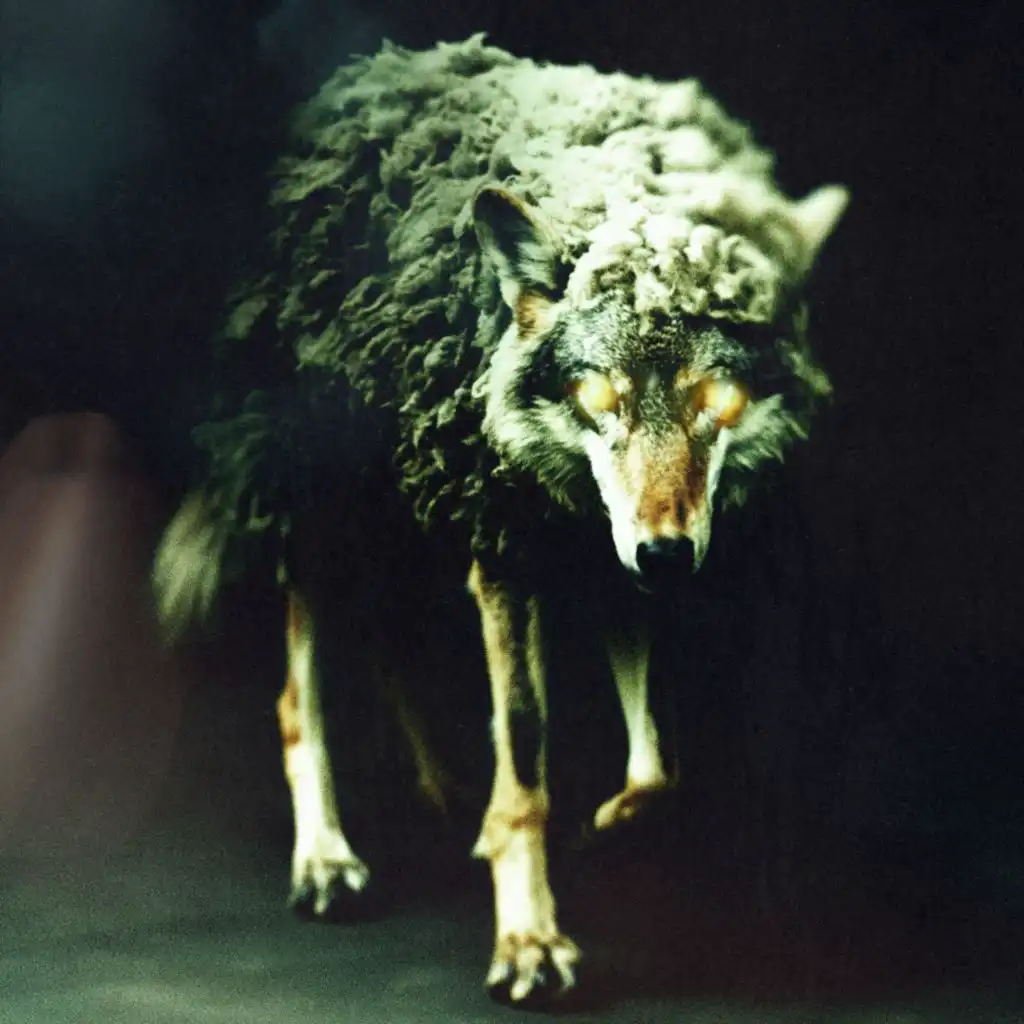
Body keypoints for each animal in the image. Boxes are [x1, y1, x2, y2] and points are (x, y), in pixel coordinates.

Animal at [153, 35, 847, 1006]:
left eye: (719, 399)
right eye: (600, 396)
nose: (667, 555)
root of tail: (350, 82)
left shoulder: (606, 567)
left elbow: (656, 766)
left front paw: (608, 826)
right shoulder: (508, 558)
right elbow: (524, 761)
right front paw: (528, 939)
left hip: (406, 515)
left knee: (391, 643)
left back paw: (442, 795)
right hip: (323, 515)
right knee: (298, 699)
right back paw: (327, 859)